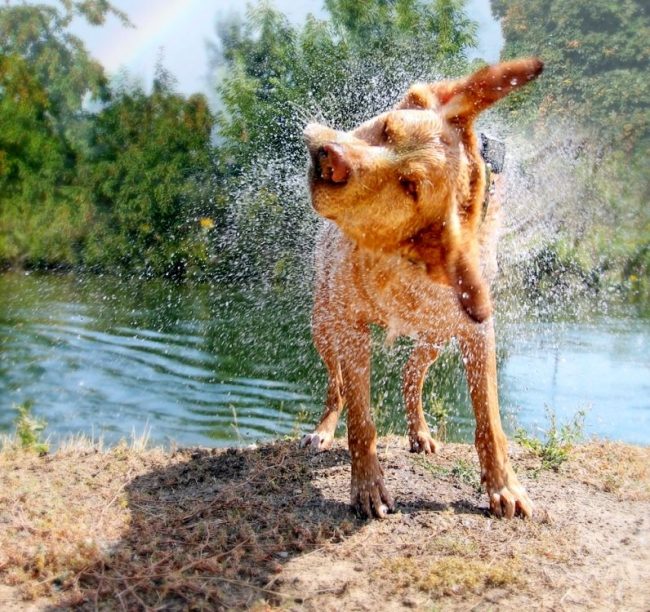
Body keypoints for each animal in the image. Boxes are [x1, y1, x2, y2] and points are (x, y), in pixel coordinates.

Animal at [300, 57, 540, 520]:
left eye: (409, 185)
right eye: (385, 128)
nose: (330, 156)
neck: (398, 257)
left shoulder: (477, 331)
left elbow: (489, 419)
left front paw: (504, 487)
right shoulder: (352, 328)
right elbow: (362, 420)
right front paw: (368, 488)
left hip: (435, 335)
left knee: (411, 373)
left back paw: (420, 432)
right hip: (323, 324)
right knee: (335, 385)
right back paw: (322, 430)